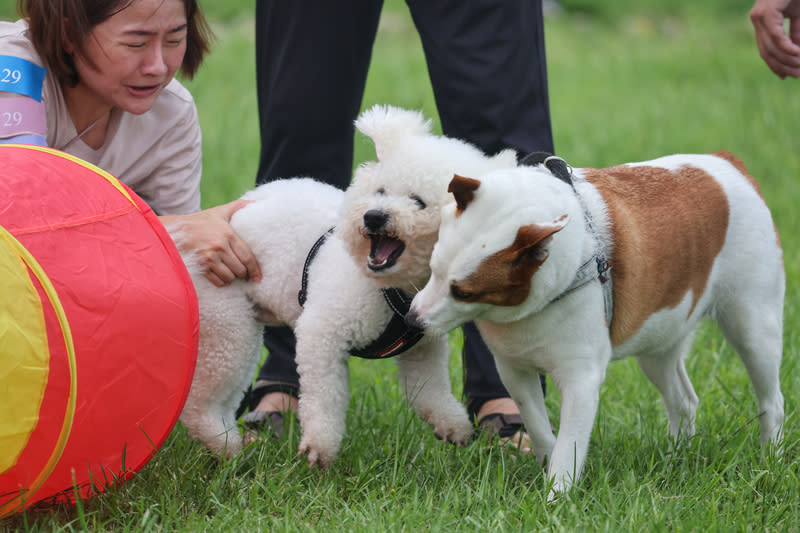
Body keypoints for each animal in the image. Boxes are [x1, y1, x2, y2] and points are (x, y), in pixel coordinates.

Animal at [410, 151, 784, 498]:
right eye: (433, 269)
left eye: (463, 292)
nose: (412, 320)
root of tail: (728, 162)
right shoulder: (513, 369)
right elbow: (537, 423)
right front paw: (547, 460)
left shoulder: (581, 379)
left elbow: (571, 441)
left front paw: (557, 497)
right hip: (661, 335)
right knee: (682, 398)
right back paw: (675, 458)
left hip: (753, 324)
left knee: (771, 398)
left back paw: (770, 457)